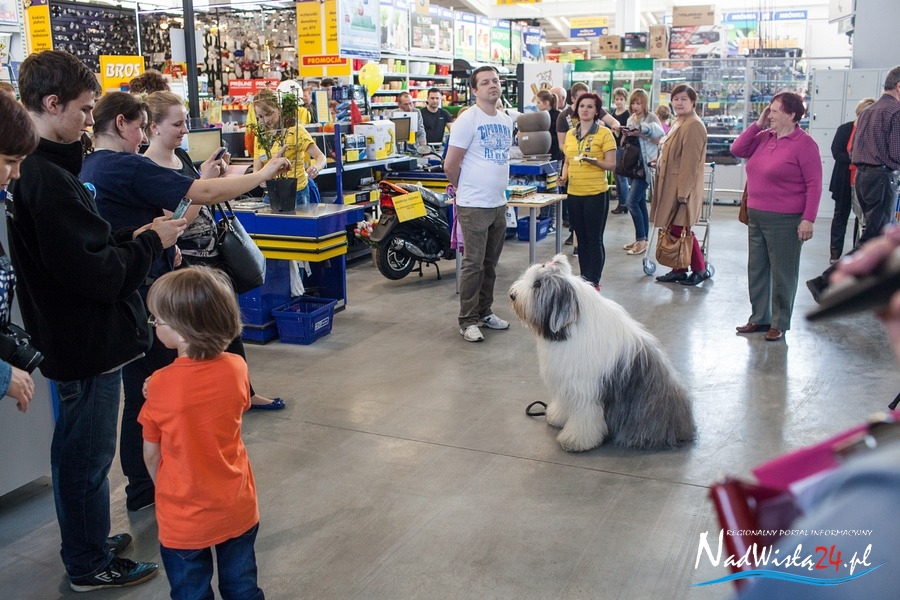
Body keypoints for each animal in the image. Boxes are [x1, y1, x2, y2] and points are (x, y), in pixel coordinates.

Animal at [509, 254, 696, 452]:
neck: (570, 328)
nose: (512, 295)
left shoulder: (584, 389)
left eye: (538, 285)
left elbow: (583, 415)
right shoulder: (566, 380)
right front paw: (556, 416)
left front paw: (575, 440)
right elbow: (564, 402)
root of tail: (684, 426)